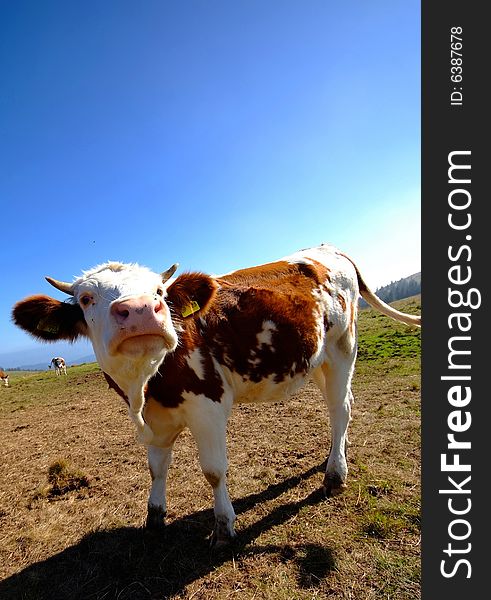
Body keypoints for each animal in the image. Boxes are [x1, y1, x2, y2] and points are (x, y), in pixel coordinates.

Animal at [11, 243, 420, 544]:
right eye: (85, 299)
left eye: (159, 291)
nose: (141, 309)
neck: (145, 388)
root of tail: (328, 248)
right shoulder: (156, 420)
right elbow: (156, 467)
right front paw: (154, 516)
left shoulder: (207, 408)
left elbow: (213, 470)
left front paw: (223, 525)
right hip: (316, 358)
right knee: (338, 409)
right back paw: (333, 458)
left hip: (342, 347)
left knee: (341, 408)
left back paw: (335, 474)